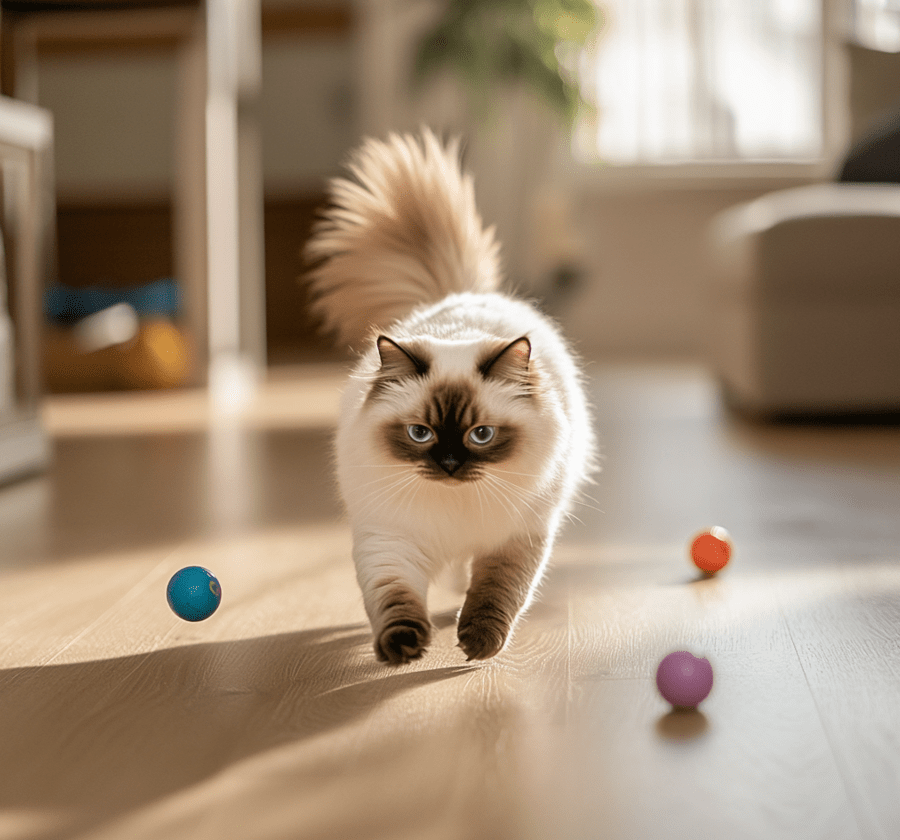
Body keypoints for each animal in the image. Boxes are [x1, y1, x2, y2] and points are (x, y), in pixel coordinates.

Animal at [304, 126, 596, 664]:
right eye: (420, 434)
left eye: (482, 435)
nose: (449, 463)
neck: (455, 508)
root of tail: (460, 293)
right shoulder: (391, 543)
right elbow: (396, 602)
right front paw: (402, 650)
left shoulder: (512, 541)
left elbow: (495, 597)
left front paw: (477, 646)